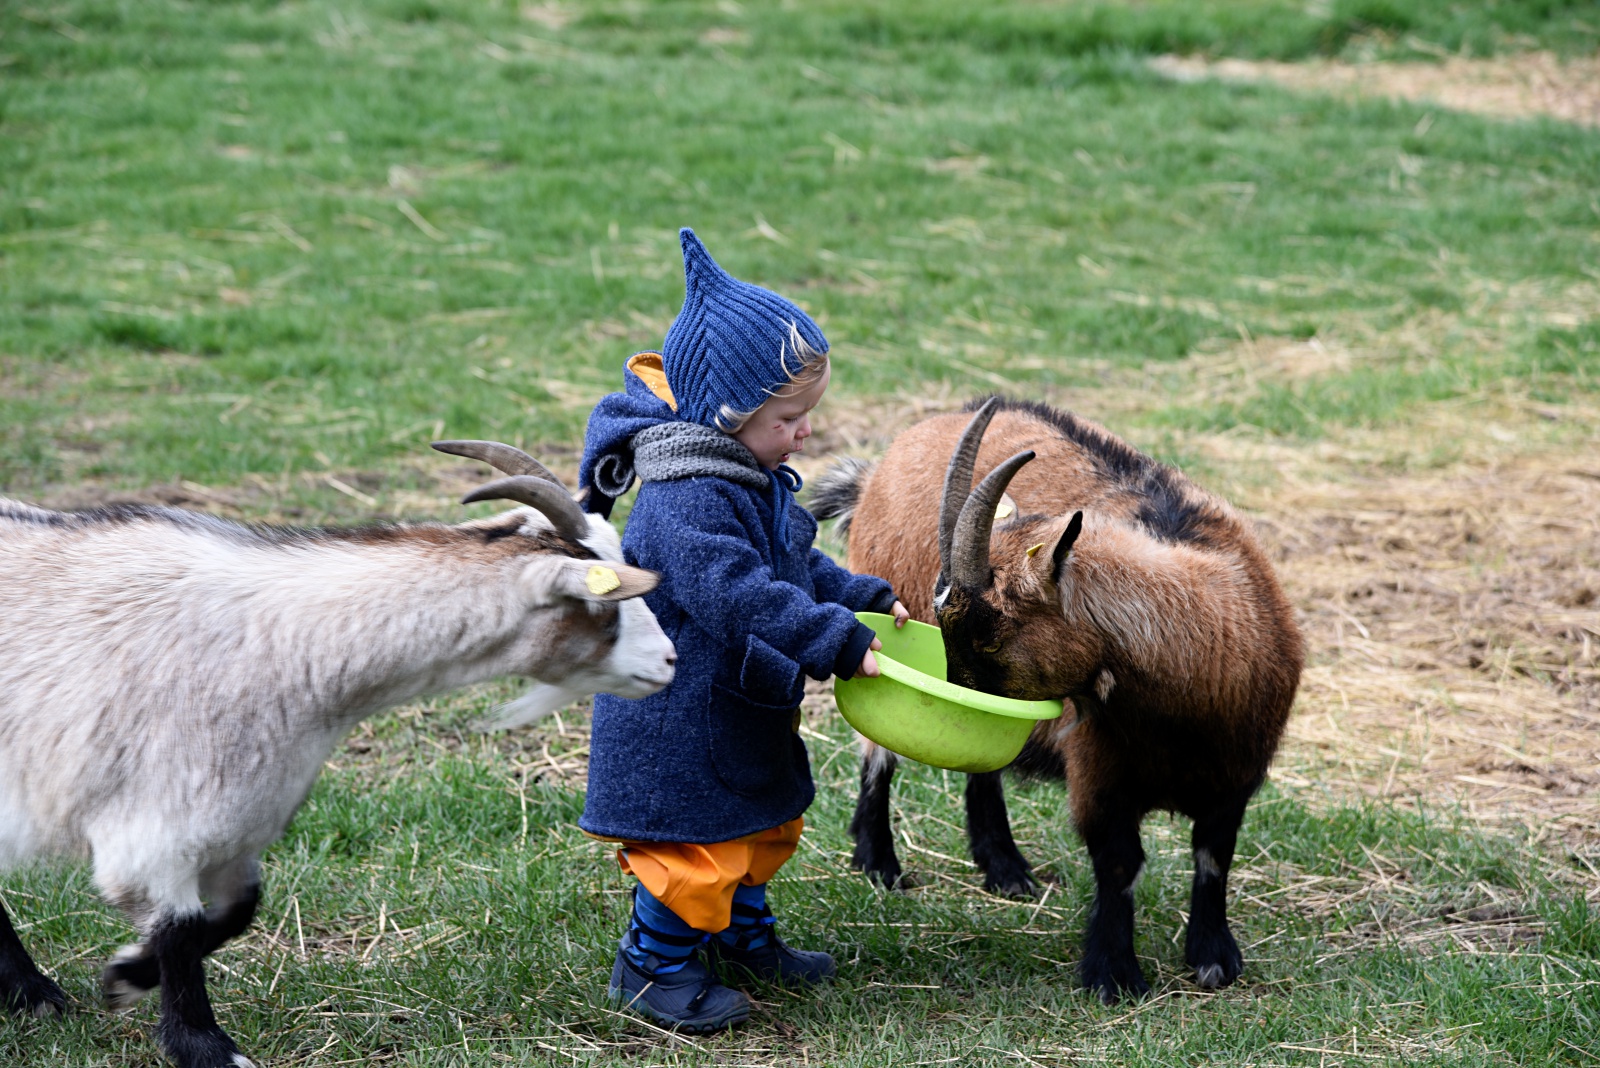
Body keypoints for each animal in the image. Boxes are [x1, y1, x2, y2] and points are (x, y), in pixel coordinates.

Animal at [0, 441, 675, 1068]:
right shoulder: (153, 830)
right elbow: (180, 932)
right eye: (602, 604)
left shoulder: (238, 823)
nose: (669, 660)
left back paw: (31, 994)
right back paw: (33, 994)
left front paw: (126, 975)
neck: (288, 648)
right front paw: (206, 1048)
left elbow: (237, 912)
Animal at [812, 398, 1299, 1004]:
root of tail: (880, 468)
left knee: (981, 774)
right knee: (877, 758)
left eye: (988, 634)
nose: (961, 701)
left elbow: (1214, 857)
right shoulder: (1099, 774)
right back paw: (880, 864)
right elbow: (1119, 865)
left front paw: (1213, 958)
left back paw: (1006, 869)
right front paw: (1114, 975)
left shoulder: (1235, 777)